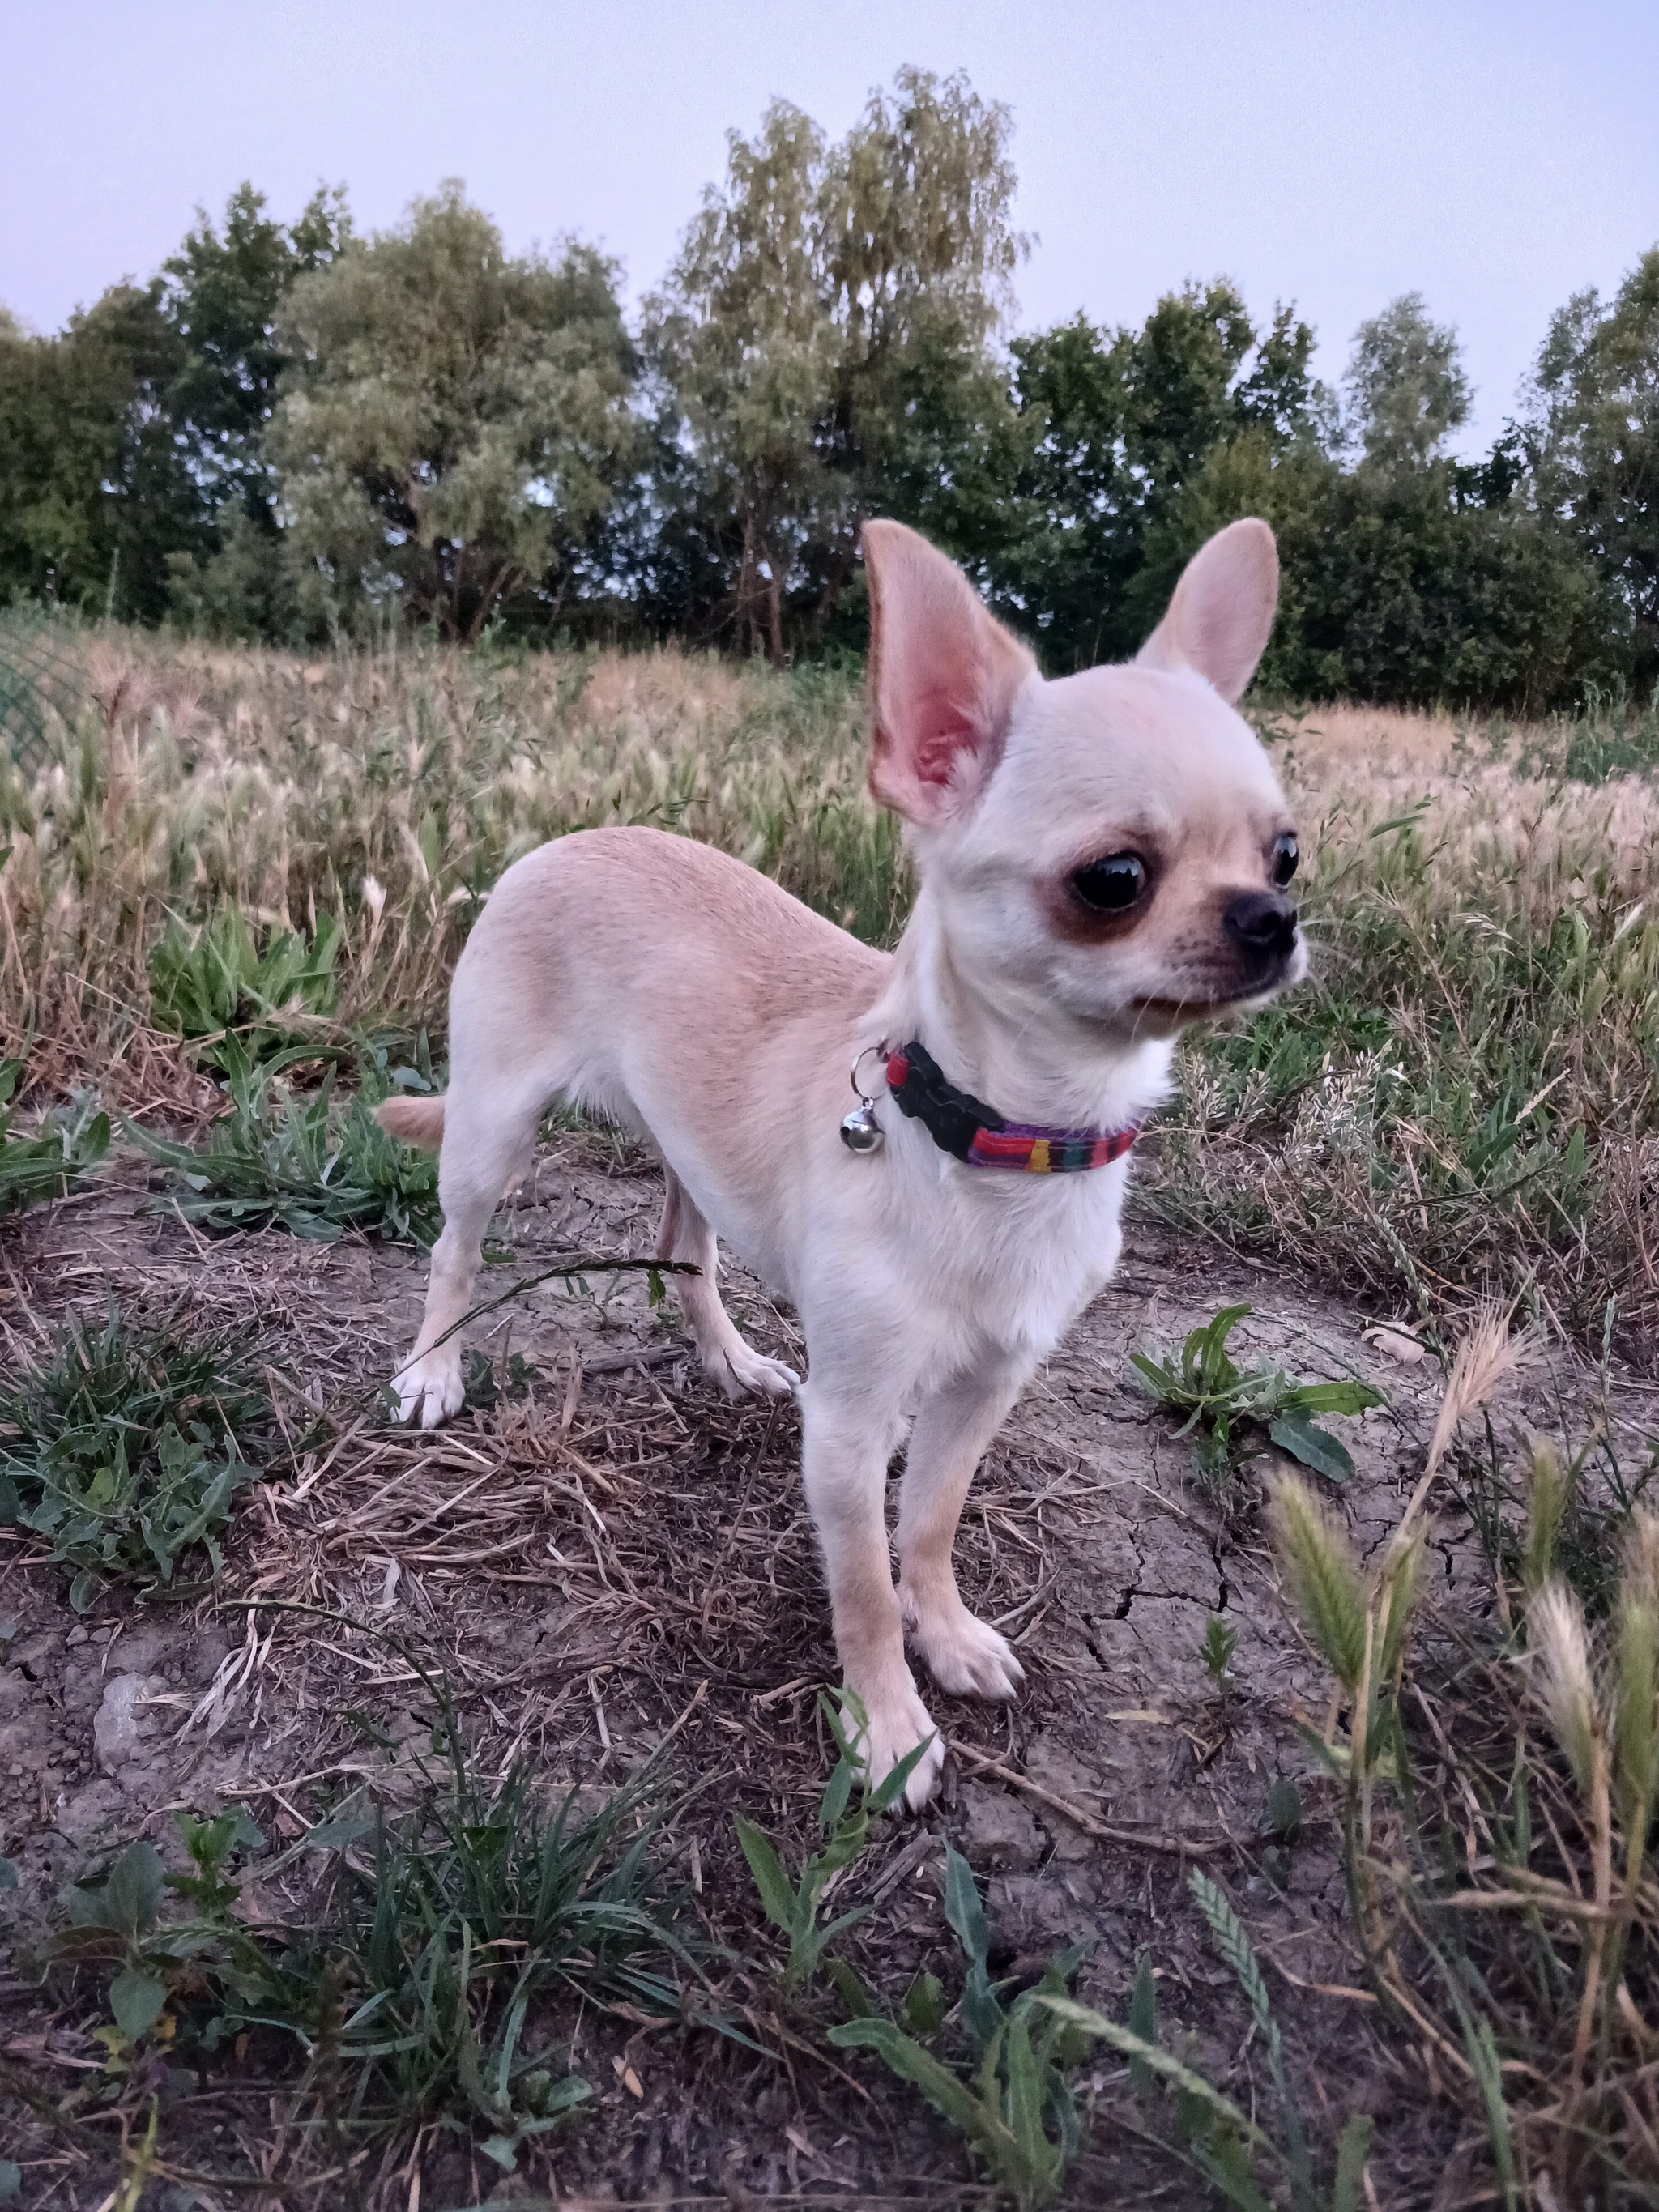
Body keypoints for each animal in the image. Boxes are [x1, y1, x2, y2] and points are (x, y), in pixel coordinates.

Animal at [382, 522, 1309, 1813]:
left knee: (682, 1249)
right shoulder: (849, 1425)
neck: (1009, 1140)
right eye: (1113, 878)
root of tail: (569, 836)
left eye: (1285, 850)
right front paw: (887, 1725)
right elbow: (862, 1584)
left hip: (684, 1153)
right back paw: (432, 1368)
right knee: (454, 1252)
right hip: (491, 1130)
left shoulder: (981, 1392)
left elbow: (927, 1527)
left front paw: (949, 1632)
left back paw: (727, 1357)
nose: (1273, 917)